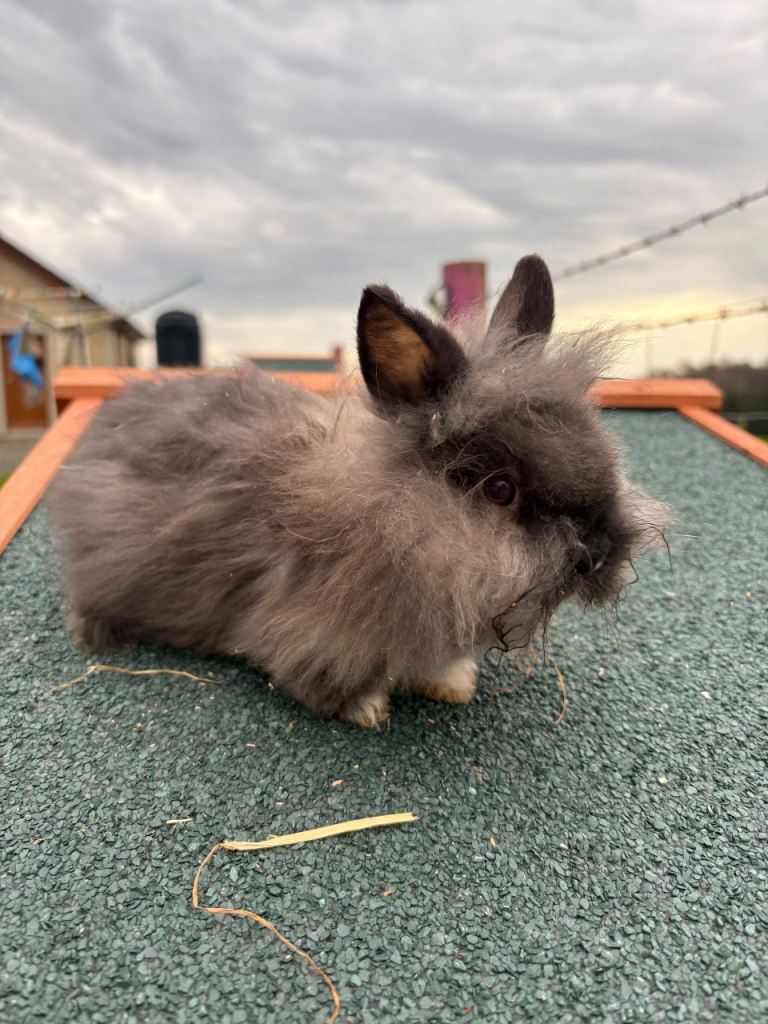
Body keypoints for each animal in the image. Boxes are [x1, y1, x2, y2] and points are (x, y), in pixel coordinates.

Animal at [50, 255, 666, 727]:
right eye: (499, 490)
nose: (600, 553)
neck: (392, 519)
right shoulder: (303, 631)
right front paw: (369, 709)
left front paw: (454, 684)